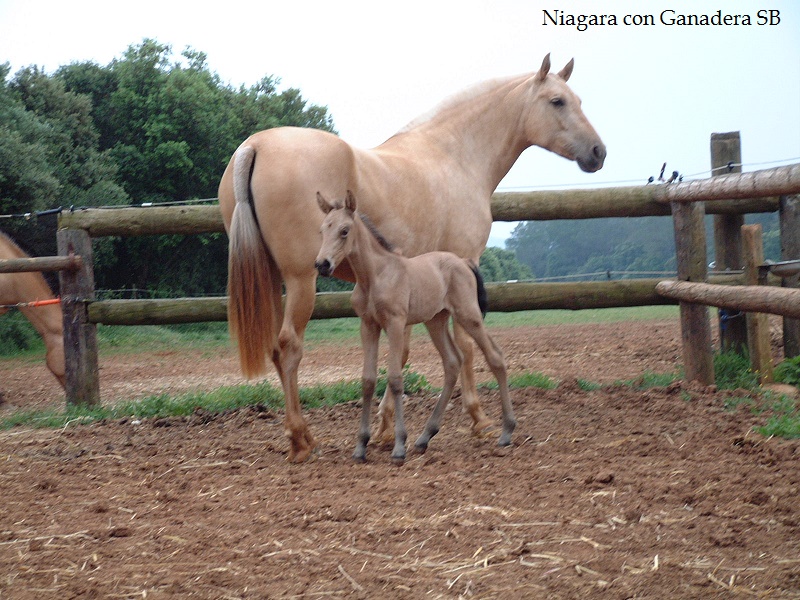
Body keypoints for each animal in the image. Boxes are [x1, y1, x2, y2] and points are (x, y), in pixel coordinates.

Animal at [315, 191, 516, 463]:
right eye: (322, 229)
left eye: (344, 230)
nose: (322, 264)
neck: (375, 276)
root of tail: (464, 262)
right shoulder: (368, 325)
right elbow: (367, 380)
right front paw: (360, 447)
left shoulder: (395, 323)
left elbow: (395, 379)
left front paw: (399, 445)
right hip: (436, 320)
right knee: (452, 362)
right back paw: (424, 437)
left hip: (468, 315)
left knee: (495, 357)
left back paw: (506, 431)